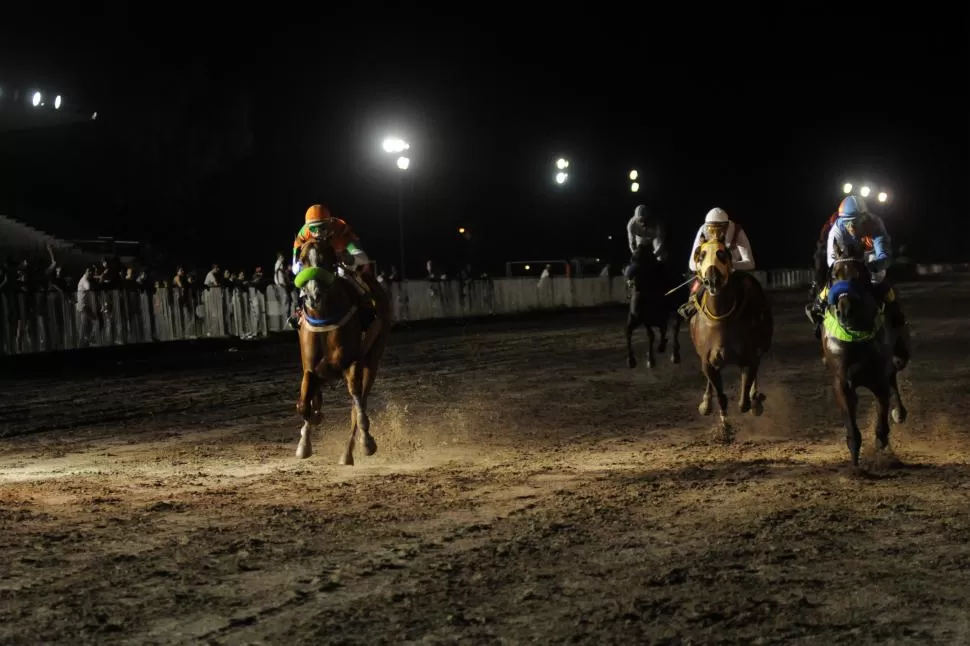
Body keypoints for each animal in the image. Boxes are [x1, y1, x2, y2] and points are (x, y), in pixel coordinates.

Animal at [294, 238, 392, 466]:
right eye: (302, 259)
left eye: (327, 258)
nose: (314, 296)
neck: (324, 319)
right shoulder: (310, 369)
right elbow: (304, 405)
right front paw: (304, 443)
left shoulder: (352, 364)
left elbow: (357, 406)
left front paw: (367, 442)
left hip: (373, 360)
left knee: (359, 405)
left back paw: (349, 452)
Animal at [688, 235, 772, 442]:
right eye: (701, 255)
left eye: (722, 254)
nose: (712, 280)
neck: (721, 319)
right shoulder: (708, 362)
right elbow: (721, 396)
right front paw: (724, 429)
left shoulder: (750, 358)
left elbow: (744, 401)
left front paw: (754, 402)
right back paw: (706, 404)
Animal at [820, 242, 904, 466]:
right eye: (835, 276)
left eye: (859, 276)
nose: (845, 312)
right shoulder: (842, 381)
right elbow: (852, 427)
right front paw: (856, 463)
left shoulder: (879, 379)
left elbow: (882, 420)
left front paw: (881, 449)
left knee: (895, 375)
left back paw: (899, 413)